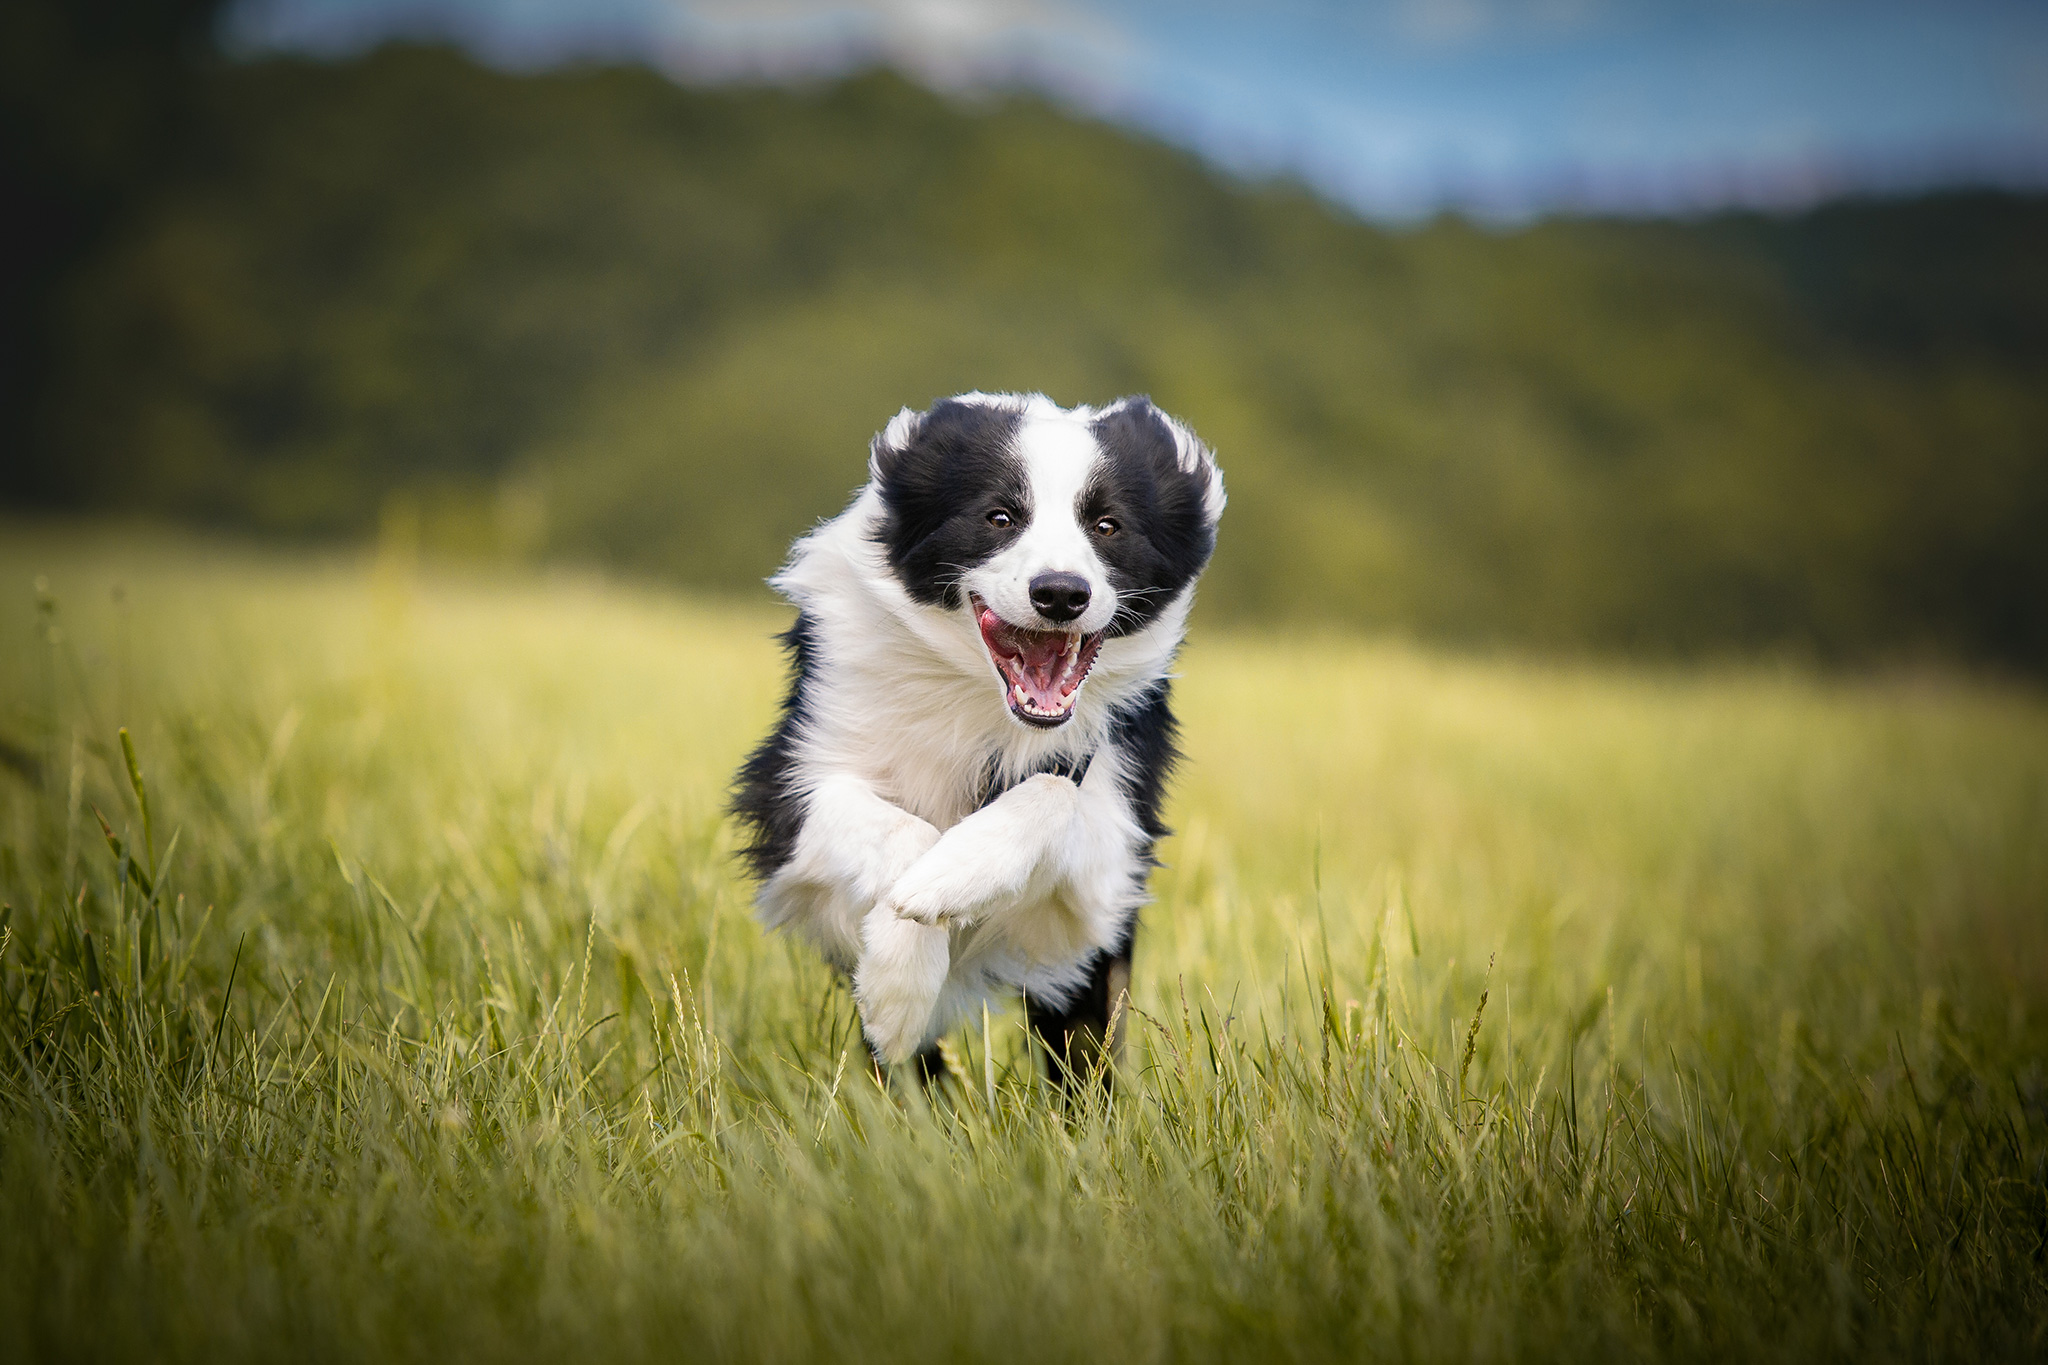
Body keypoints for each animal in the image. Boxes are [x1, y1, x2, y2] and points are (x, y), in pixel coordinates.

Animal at [733, 388, 1220, 1080]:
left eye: (1107, 526)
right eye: (999, 517)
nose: (1060, 593)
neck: (980, 702)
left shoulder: (1115, 852)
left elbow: (1054, 793)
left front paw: (953, 875)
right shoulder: (788, 782)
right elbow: (904, 835)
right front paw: (897, 988)